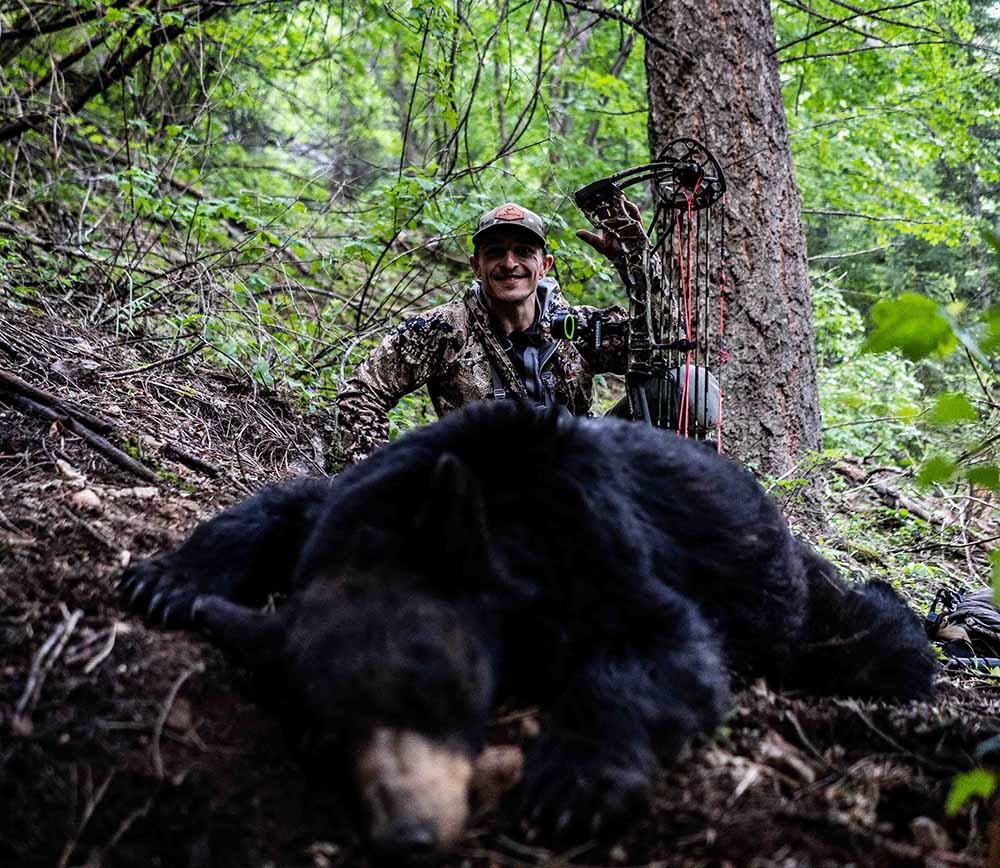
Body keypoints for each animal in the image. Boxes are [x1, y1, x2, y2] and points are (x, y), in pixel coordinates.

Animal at [121, 401, 934, 861]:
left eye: (435, 694)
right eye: (321, 738)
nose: (407, 836)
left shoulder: (592, 539)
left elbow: (663, 645)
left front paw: (575, 779)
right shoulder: (352, 505)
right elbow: (281, 501)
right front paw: (167, 579)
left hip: (801, 602)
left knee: (874, 637)